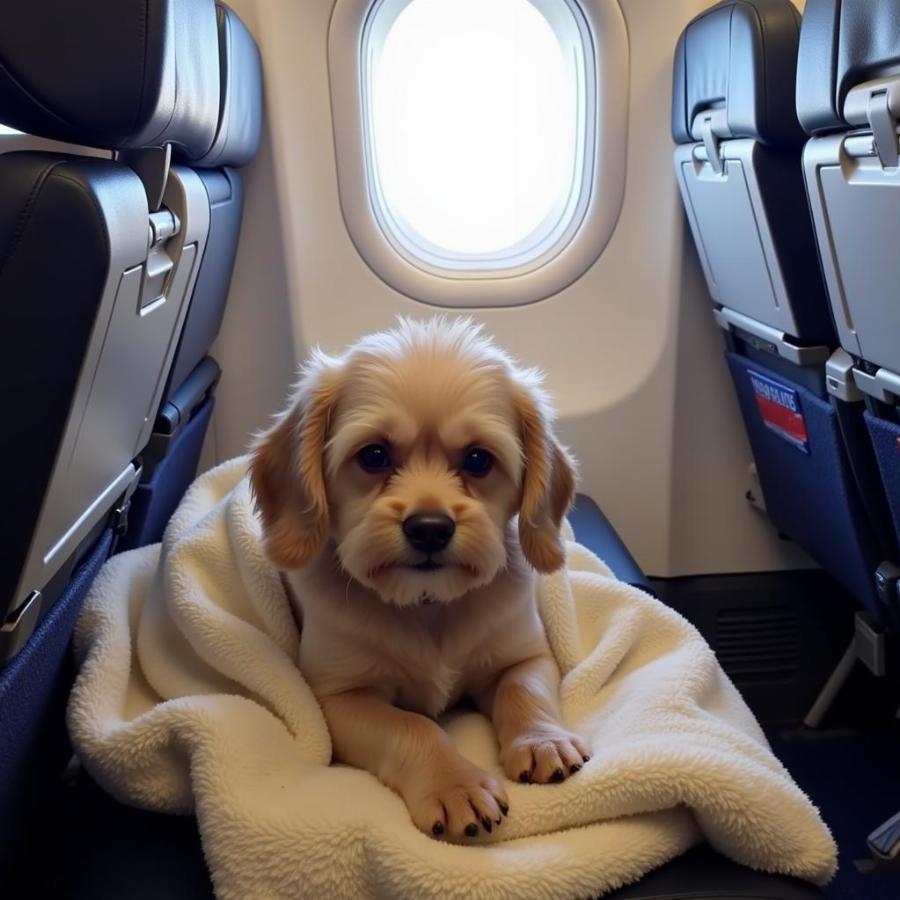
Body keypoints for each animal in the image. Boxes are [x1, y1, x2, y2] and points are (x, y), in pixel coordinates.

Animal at [250, 318, 588, 844]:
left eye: (478, 459)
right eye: (373, 455)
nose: (429, 528)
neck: (430, 605)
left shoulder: (525, 657)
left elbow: (523, 691)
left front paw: (542, 740)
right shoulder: (339, 698)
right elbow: (412, 727)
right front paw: (455, 784)